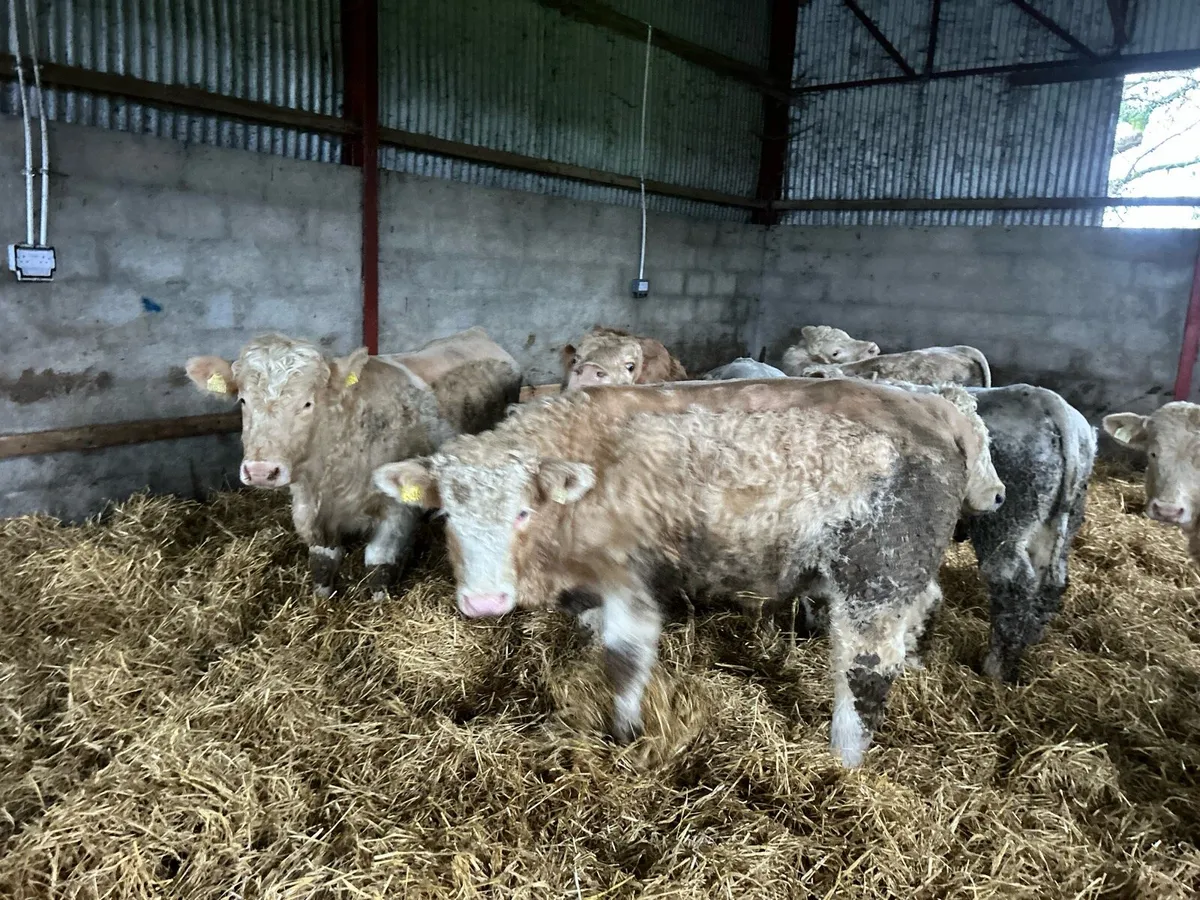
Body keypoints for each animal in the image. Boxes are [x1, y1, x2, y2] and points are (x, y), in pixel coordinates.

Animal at [185, 327, 522, 599]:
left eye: (308, 403)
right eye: (243, 400)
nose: (260, 471)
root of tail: (476, 334)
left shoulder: (396, 510)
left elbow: (379, 565)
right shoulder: (309, 512)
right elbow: (323, 564)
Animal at [373, 378, 1005, 767]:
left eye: (522, 511)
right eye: (445, 515)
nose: (484, 602)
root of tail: (932, 409)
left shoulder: (629, 581)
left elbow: (624, 661)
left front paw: (626, 736)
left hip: (878, 577)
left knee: (865, 674)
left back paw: (842, 764)